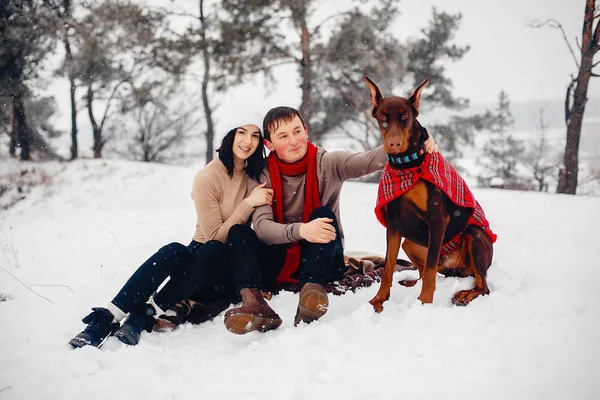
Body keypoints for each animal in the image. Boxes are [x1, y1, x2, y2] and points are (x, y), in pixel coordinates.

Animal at [366, 76, 496, 312]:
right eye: (382, 116)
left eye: (405, 116)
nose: (394, 144)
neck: (406, 166)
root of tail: (455, 269)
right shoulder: (393, 223)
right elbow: (388, 267)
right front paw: (379, 299)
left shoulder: (437, 218)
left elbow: (428, 271)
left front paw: (424, 303)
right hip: (410, 242)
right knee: (427, 271)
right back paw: (410, 282)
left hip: (473, 234)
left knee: (481, 285)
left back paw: (464, 294)